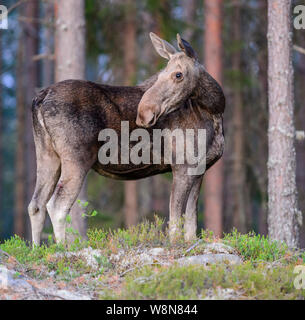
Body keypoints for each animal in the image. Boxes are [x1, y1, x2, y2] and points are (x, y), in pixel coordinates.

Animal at [27, 32, 223, 245]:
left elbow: (191, 222)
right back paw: (64, 248)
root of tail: (39, 99)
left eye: (178, 74)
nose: (144, 113)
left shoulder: (200, 169)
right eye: (160, 74)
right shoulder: (182, 165)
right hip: (77, 158)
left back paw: (37, 249)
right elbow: (175, 220)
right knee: (57, 206)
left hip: (47, 155)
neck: (215, 112)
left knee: (36, 204)